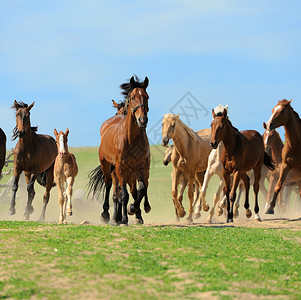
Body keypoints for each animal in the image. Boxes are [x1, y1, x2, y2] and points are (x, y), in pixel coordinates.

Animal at [88, 75, 150, 225]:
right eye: (132, 97)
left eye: (147, 97)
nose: (142, 120)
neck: (131, 139)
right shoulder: (120, 168)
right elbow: (123, 195)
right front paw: (124, 218)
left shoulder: (141, 167)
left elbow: (141, 190)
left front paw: (133, 209)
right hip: (107, 167)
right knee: (109, 186)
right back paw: (106, 215)